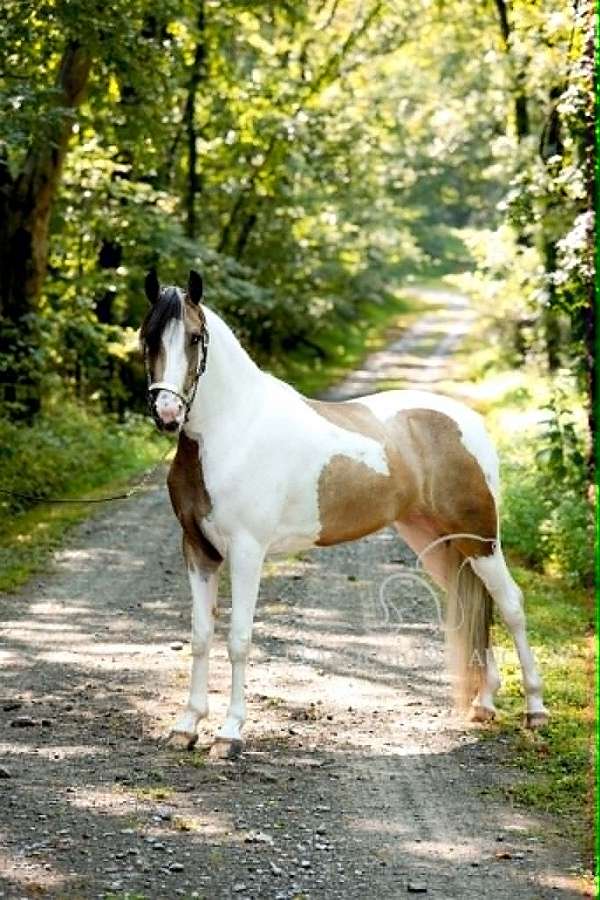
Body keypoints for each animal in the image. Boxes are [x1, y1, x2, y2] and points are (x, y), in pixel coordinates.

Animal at [140, 268, 548, 756]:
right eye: (148, 337)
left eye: (196, 338)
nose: (167, 413)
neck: (233, 430)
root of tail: (469, 422)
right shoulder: (198, 551)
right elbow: (201, 637)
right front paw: (187, 725)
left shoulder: (246, 552)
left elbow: (238, 639)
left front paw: (230, 732)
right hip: (439, 544)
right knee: (474, 607)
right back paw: (484, 704)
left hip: (480, 538)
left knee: (511, 605)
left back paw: (536, 711)